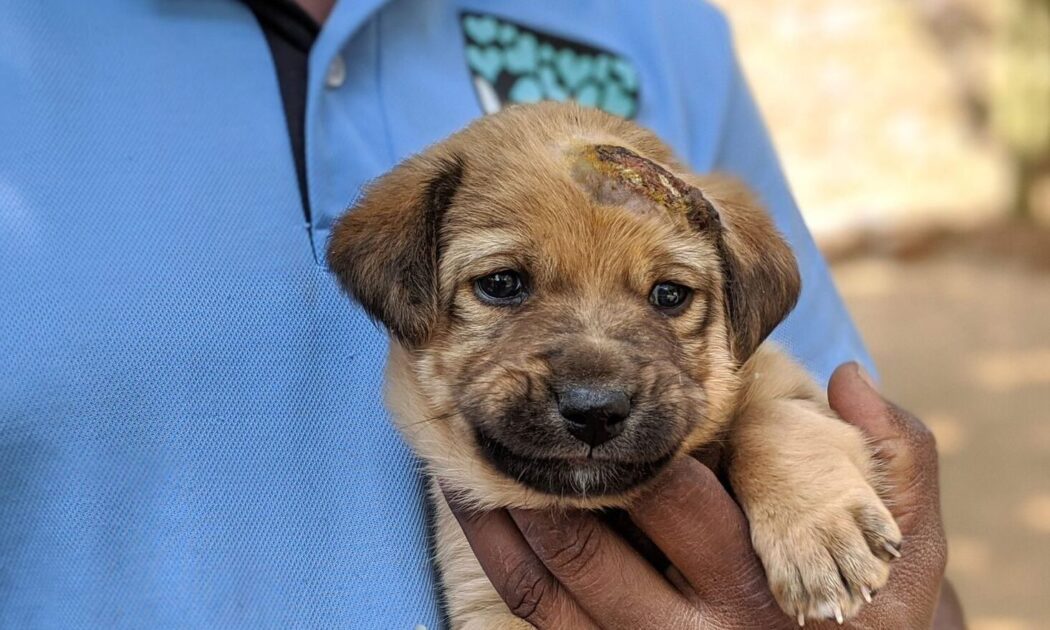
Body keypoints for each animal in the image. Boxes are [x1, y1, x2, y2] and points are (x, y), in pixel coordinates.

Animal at [329, 100, 902, 625]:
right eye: (501, 283)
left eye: (669, 294)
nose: (595, 413)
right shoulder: (481, 596)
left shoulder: (788, 381)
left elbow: (776, 417)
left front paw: (820, 532)